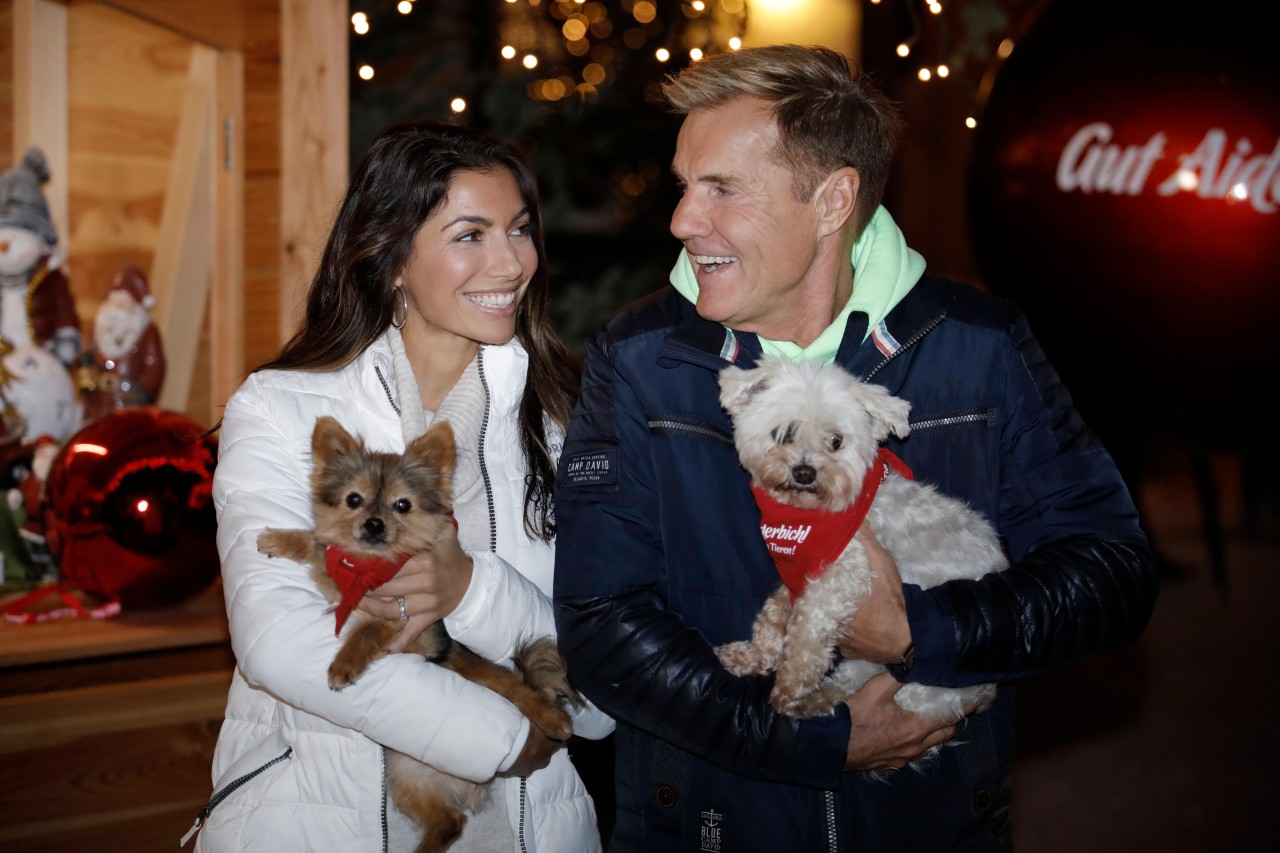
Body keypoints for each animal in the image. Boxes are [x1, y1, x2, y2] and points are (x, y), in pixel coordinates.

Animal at [257, 414, 578, 845]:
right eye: (353, 500)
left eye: (402, 505)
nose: (374, 524)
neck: (372, 568)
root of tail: (469, 785)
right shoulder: (338, 575)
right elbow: (319, 545)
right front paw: (282, 538)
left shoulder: (414, 629)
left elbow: (368, 630)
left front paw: (344, 664)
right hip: (406, 778)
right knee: (449, 823)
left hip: (491, 683)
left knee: (524, 693)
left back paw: (554, 718)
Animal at [716, 356, 1003, 722]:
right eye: (784, 433)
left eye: (836, 440)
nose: (805, 473)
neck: (809, 517)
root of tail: (987, 692)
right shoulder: (801, 574)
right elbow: (774, 613)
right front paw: (754, 656)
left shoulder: (844, 573)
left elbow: (806, 629)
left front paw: (789, 686)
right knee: (849, 682)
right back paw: (817, 701)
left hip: (923, 692)